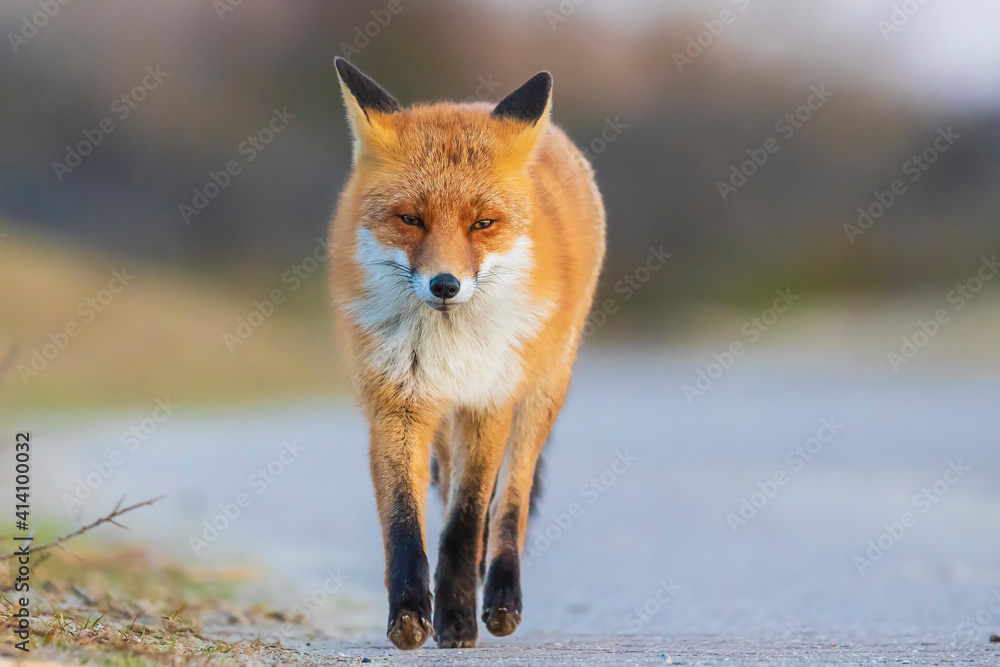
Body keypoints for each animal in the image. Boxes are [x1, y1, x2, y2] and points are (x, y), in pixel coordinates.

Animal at [328, 58, 606, 650]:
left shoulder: (489, 402)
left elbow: (466, 520)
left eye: (482, 223)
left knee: (510, 505)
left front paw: (456, 617)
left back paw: (500, 595)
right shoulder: (399, 403)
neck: (449, 344)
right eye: (410, 219)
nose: (445, 285)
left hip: (541, 395)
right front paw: (411, 615)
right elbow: (404, 523)